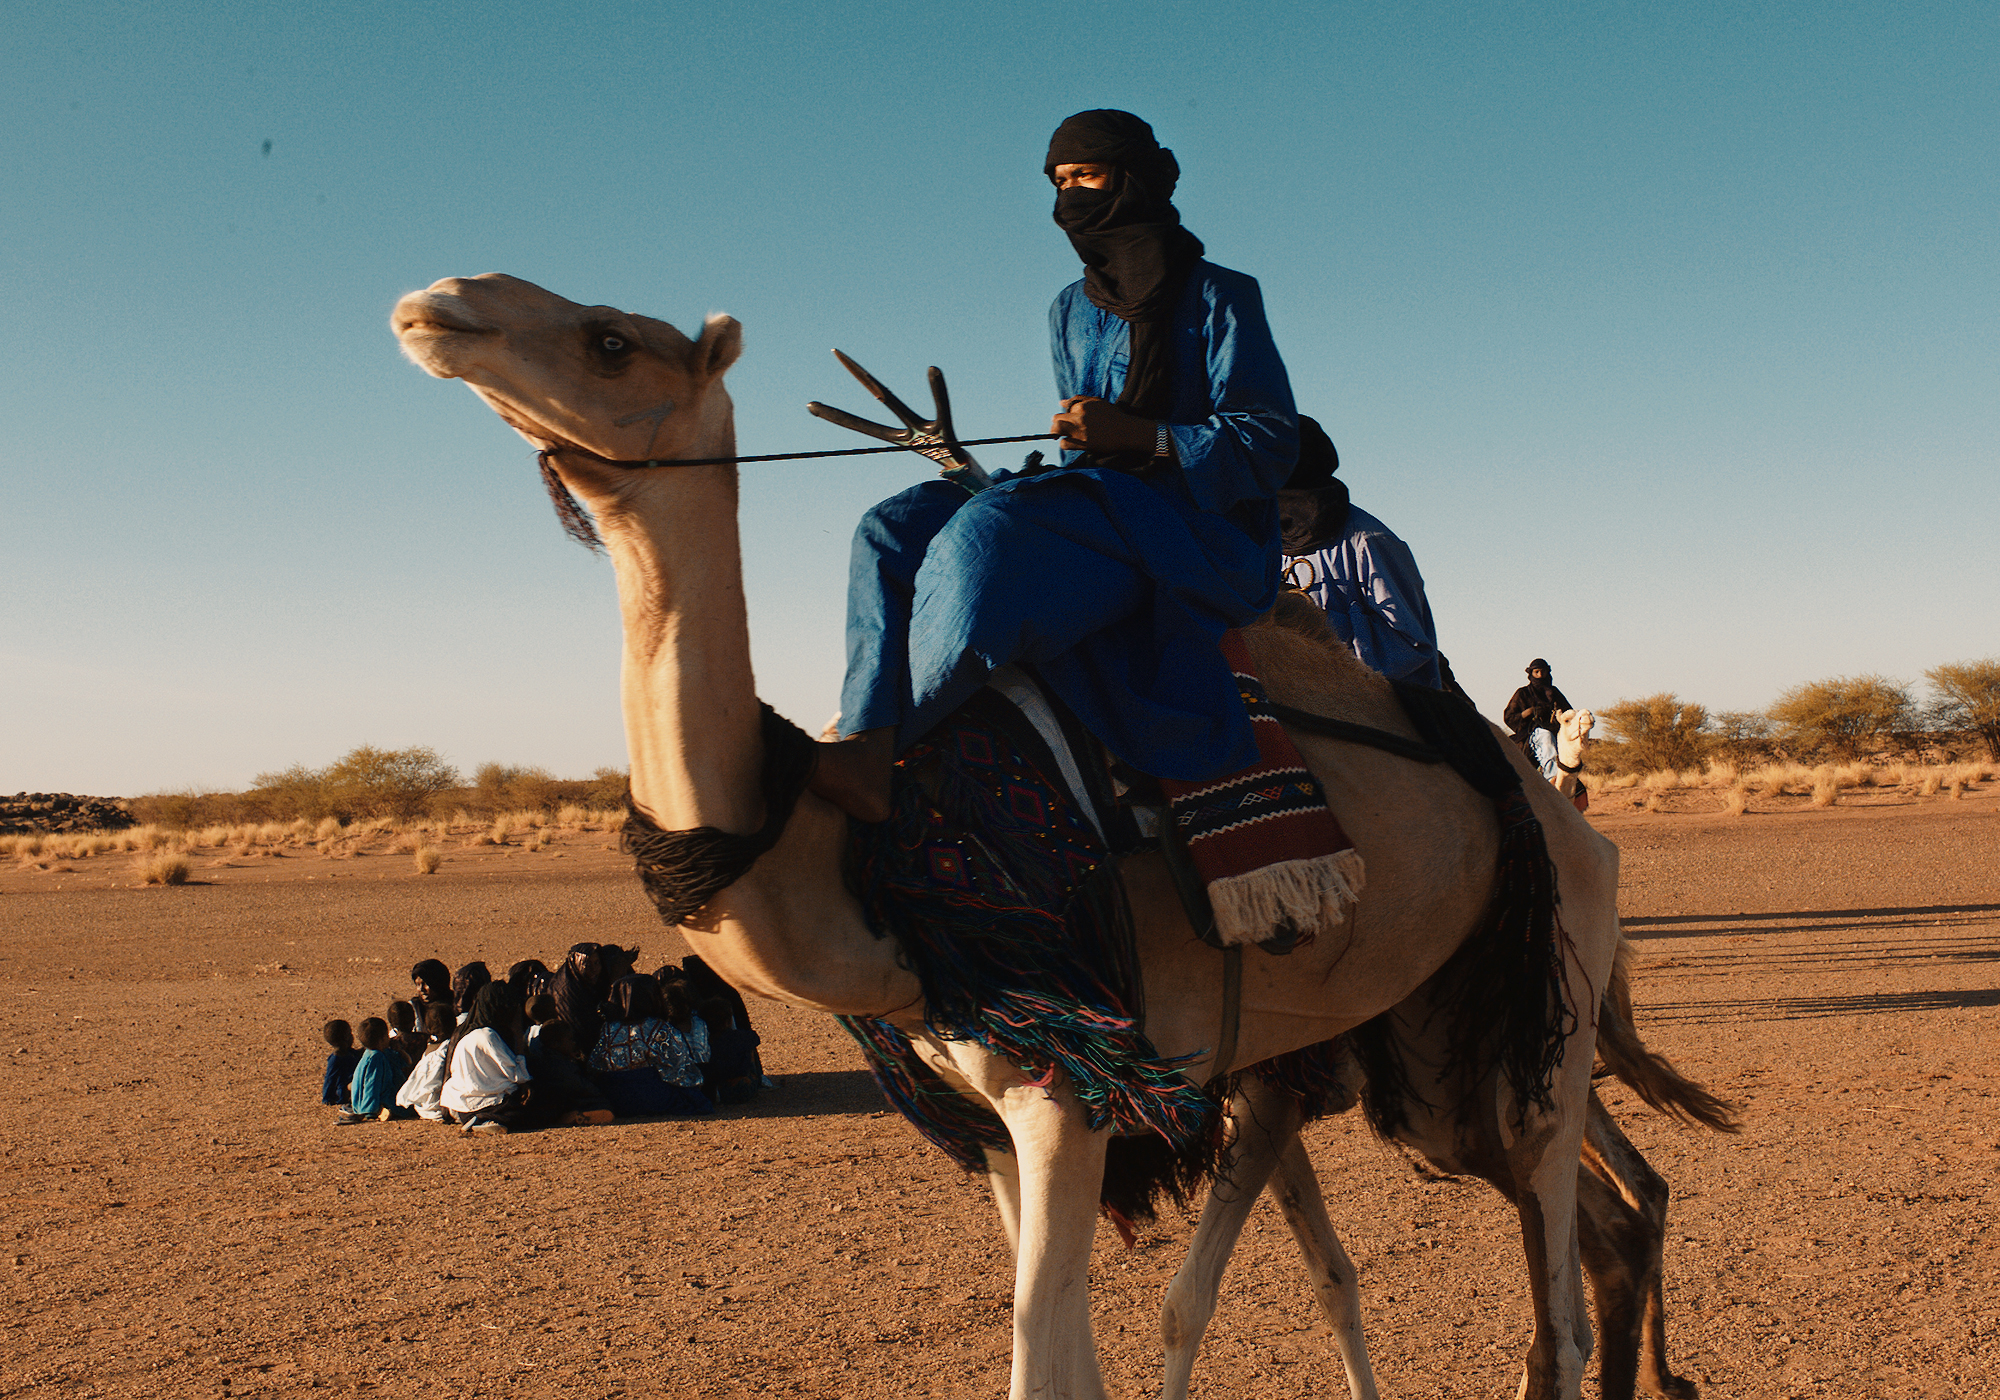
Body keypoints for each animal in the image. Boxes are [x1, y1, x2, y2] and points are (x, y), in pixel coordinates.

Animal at [386, 276, 1624, 1400]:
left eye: (608, 339)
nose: (437, 302)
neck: (868, 869)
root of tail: (1559, 811)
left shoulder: (1066, 1095)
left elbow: (1041, 1359)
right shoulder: (986, 1119)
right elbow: (1071, 1358)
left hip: (1544, 1005)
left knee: (1557, 1296)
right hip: (1416, 1049)